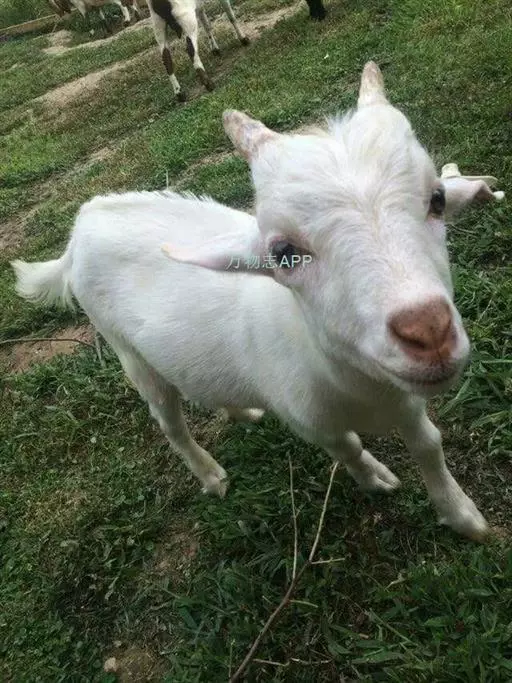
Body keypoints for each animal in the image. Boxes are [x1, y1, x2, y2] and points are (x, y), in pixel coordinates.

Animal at [12, 63, 504, 541]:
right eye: (283, 253)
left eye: (437, 200)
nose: (428, 332)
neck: (358, 388)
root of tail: (82, 225)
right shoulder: (309, 420)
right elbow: (349, 448)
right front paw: (376, 479)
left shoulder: (407, 400)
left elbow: (429, 445)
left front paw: (464, 518)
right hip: (129, 354)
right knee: (169, 422)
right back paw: (210, 475)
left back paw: (240, 409)